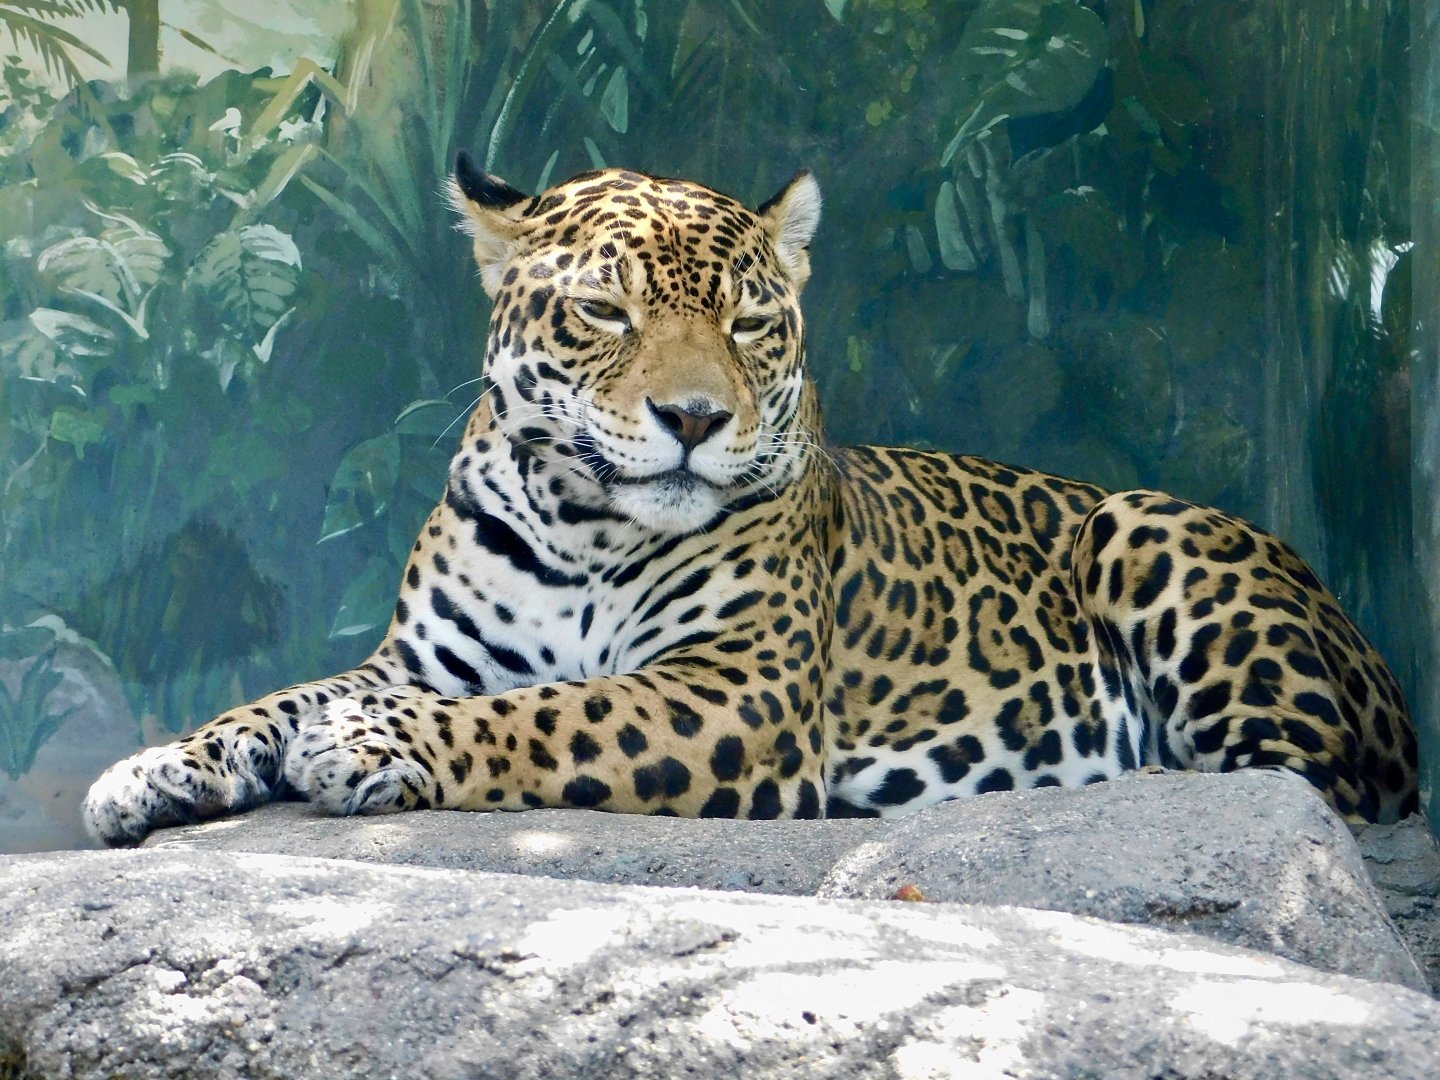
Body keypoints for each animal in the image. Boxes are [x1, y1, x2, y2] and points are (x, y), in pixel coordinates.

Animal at [83, 151, 1419, 846]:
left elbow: (549, 715)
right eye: (605, 311)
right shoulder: (425, 658)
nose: (694, 419)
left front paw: (369, 748)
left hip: (1152, 529)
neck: (583, 523)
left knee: (1295, 782)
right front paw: (153, 768)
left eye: (748, 323)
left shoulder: (738, 689)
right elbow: (279, 695)